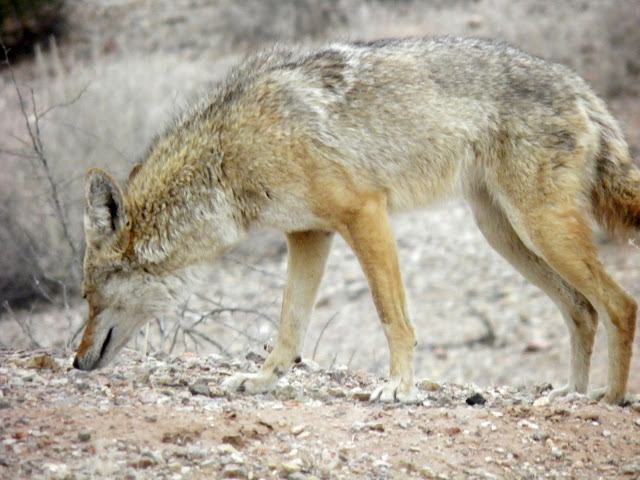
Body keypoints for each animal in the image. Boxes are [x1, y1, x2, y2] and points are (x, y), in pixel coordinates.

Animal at [73, 36, 639, 405]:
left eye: (87, 297)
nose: (76, 361)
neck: (226, 155)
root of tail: (580, 85)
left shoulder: (364, 212)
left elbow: (393, 316)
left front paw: (399, 387)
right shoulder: (308, 234)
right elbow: (289, 325)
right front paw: (262, 381)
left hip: (540, 230)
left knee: (620, 305)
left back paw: (607, 399)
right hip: (507, 235)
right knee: (582, 311)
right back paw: (569, 394)